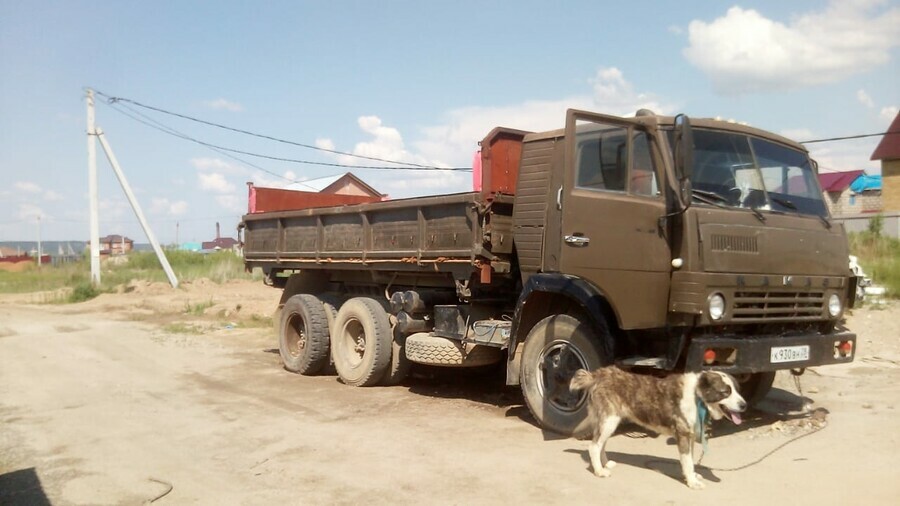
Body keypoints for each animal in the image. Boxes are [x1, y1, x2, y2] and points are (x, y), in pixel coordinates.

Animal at [568, 366, 744, 488]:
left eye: (737, 390)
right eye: (726, 392)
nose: (744, 405)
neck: (697, 396)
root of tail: (599, 374)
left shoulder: (691, 435)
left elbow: (691, 460)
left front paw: (693, 476)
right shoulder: (683, 435)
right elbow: (687, 462)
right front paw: (692, 482)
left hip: (610, 421)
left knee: (601, 444)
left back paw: (605, 463)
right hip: (609, 420)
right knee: (594, 446)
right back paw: (599, 471)